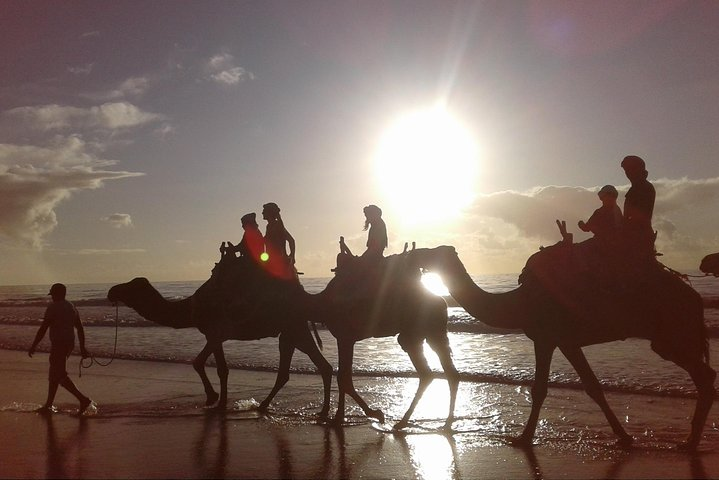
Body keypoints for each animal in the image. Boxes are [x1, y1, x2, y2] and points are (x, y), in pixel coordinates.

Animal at [107, 258, 334, 416]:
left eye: (132, 286)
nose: (111, 291)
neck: (191, 308)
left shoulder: (215, 332)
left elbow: (211, 366)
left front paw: (215, 400)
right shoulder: (215, 335)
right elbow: (209, 365)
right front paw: (217, 400)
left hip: (294, 327)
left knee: (317, 366)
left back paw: (320, 412)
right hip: (290, 331)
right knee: (296, 370)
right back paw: (266, 406)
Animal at [408, 240, 716, 450]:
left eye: (432, 251)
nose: (413, 253)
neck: (517, 304)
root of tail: (695, 298)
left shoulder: (546, 338)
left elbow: (540, 389)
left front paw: (522, 438)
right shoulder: (567, 341)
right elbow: (592, 386)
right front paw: (624, 436)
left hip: (672, 334)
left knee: (705, 375)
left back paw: (690, 441)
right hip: (672, 336)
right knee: (703, 375)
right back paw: (690, 440)